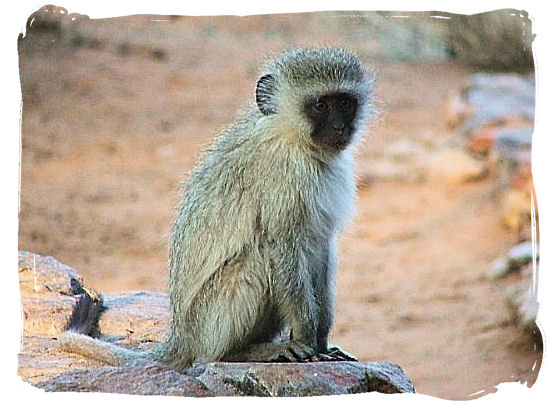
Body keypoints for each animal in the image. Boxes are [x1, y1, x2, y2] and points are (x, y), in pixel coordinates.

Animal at [61, 47, 380, 372]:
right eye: (320, 105)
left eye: (345, 103)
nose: (340, 127)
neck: (296, 141)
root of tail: (182, 335)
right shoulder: (284, 178)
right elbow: (281, 245)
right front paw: (305, 338)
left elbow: (322, 249)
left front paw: (322, 341)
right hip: (209, 321)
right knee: (259, 256)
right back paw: (241, 352)